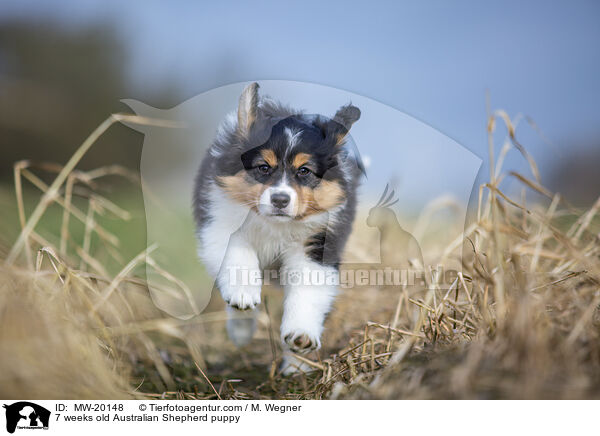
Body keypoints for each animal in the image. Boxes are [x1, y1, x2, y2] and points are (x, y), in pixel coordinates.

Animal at [193, 83, 360, 372]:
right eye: (263, 167)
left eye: (304, 171)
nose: (280, 200)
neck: (275, 224)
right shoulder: (219, 222)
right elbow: (238, 253)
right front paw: (243, 293)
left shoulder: (316, 244)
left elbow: (308, 289)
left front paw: (301, 339)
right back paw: (240, 328)